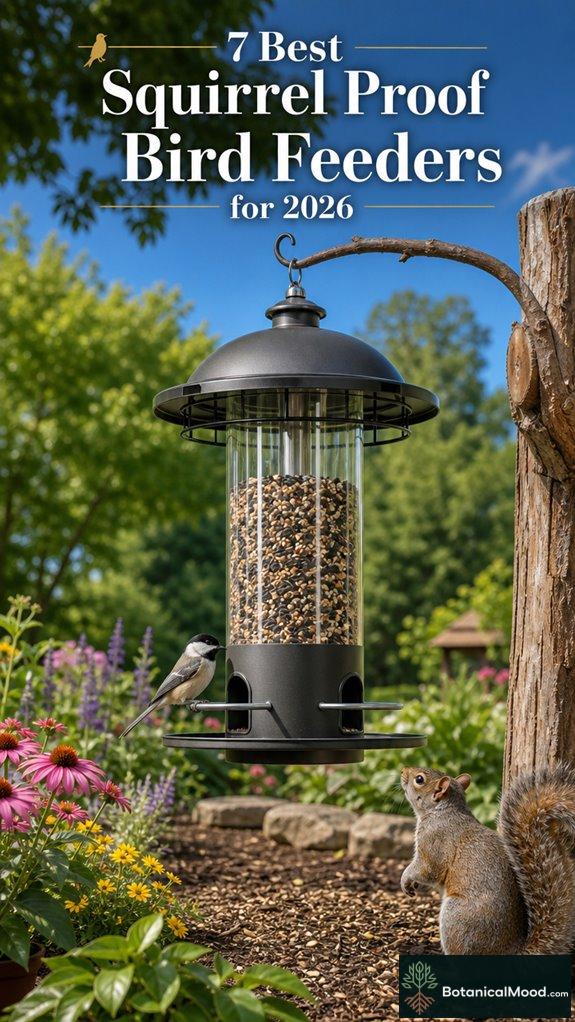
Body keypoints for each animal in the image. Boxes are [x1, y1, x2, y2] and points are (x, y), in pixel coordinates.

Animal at [400, 764, 575, 955]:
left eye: (419, 779)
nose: (402, 771)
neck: (441, 811)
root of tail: (509, 952)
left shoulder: (435, 841)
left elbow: (428, 869)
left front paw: (405, 879)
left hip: (455, 918)